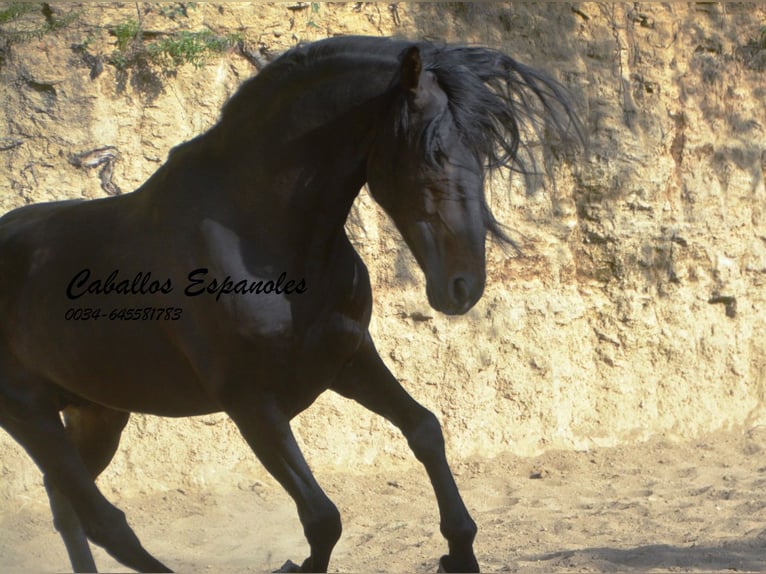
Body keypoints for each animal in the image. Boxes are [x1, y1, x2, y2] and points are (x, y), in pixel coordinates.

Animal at [0, 37, 580, 574]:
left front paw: (458, 552)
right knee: (104, 521)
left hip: (97, 413)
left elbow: (425, 431)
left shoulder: (348, 357)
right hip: (32, 414)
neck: (262, 238)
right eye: (430, 152)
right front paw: (296, 563)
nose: (462, 286)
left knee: (66, 507)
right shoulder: (251, 401)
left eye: (480, 154)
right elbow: (323, 518)